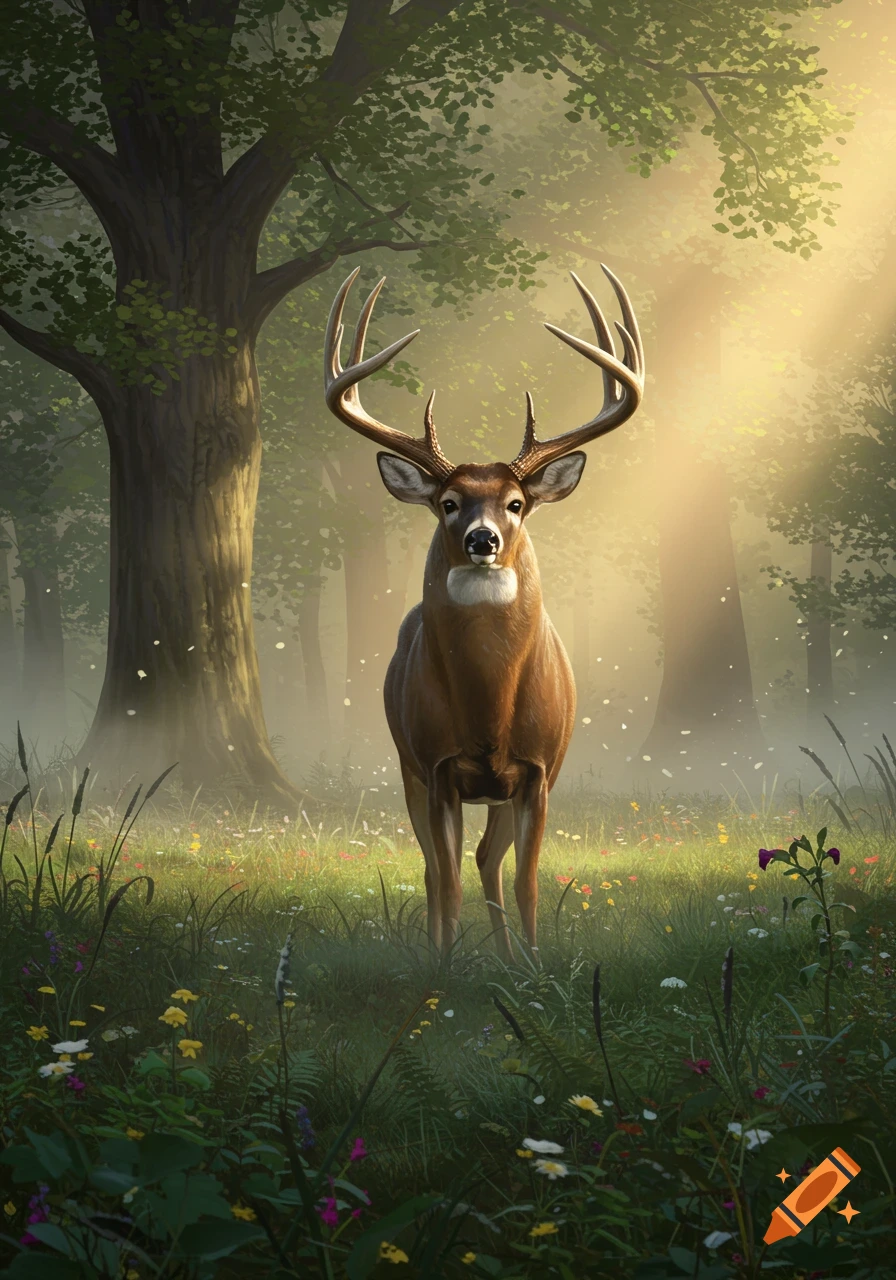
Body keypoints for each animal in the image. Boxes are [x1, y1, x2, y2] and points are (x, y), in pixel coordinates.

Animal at [323, 264, 644, 959]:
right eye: (448, 502)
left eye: (516, 503)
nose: (482, 539)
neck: (487, 710)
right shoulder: (436, 765)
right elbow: (443, 880)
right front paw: (442, 968)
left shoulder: (538, 770)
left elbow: (524, 880)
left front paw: (535, 966)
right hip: (407, 767)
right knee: (438, 866)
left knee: (487, 860)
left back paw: (507, 957)